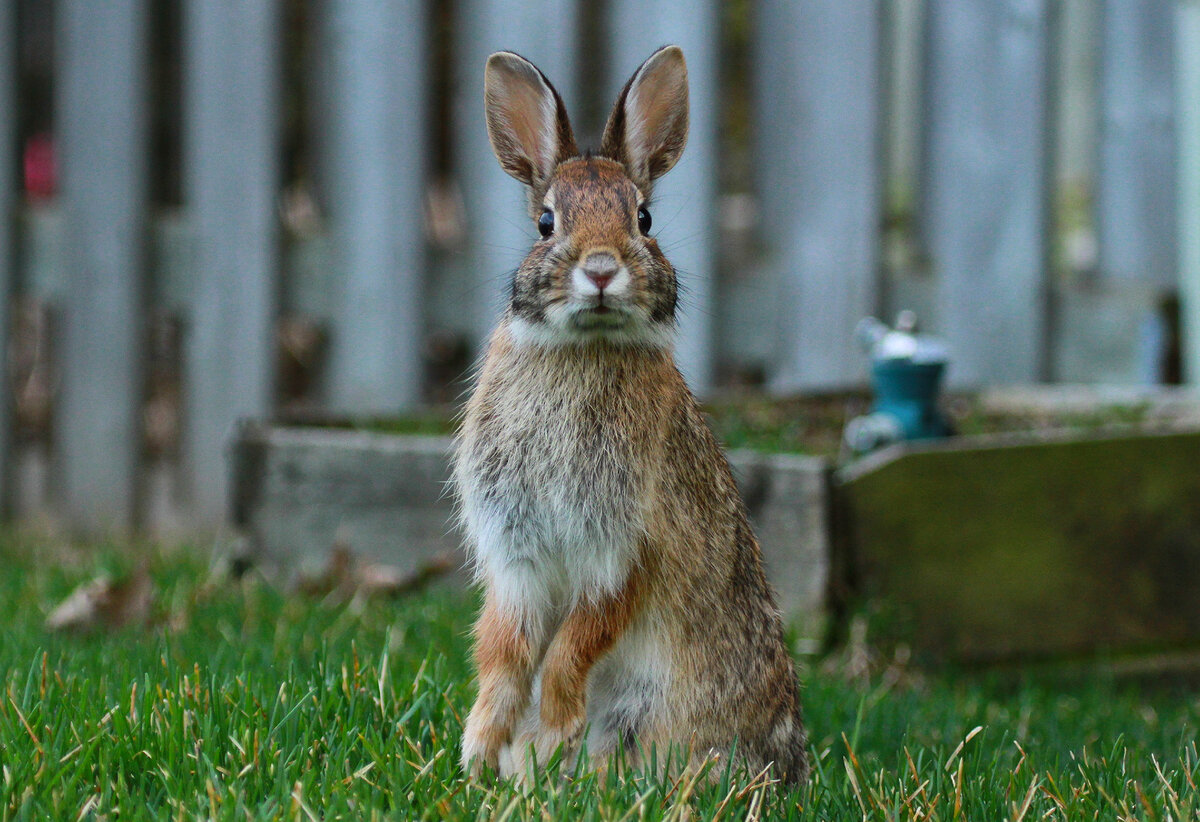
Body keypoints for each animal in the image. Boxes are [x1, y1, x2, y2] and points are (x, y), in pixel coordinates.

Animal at [453, 46, 811, 787]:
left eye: (642, 219)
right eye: (546, 223)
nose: (599, 269)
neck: (583, 347)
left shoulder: (621, 551)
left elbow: (571, 649)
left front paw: (545, 738)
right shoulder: (518, 554)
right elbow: (504, 649)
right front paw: (482, 748)